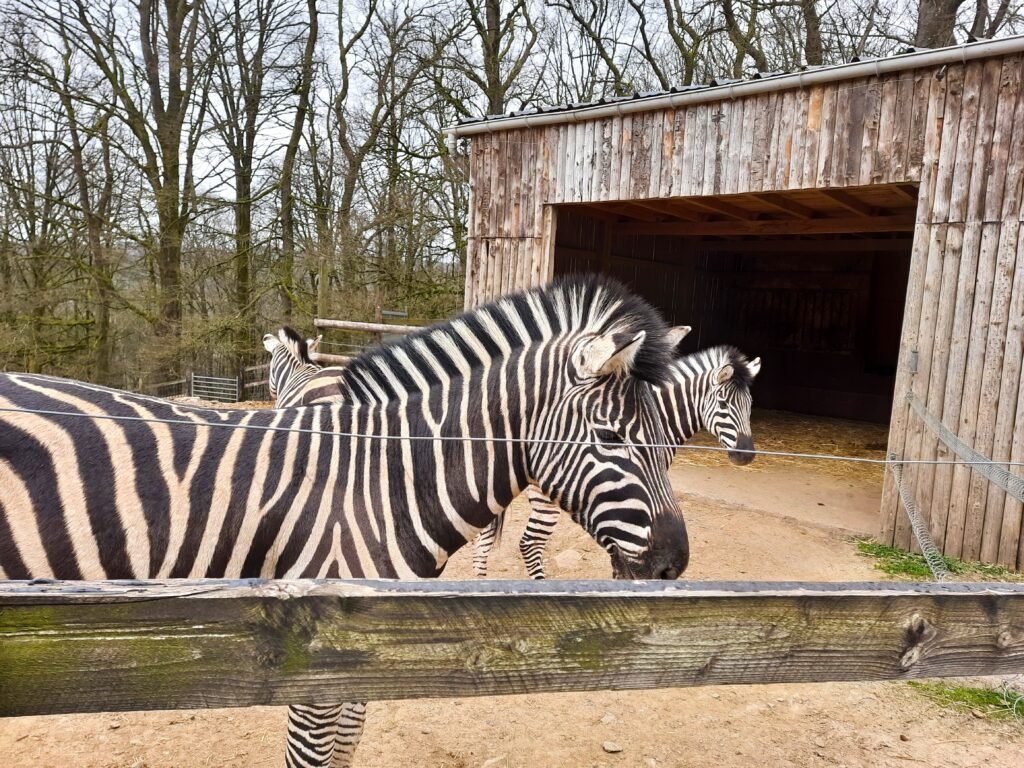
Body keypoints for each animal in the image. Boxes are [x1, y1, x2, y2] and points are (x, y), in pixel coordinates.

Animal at [0, 275, 690, 768]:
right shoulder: (313, 648)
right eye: (611, 437)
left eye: (669, 442)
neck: (381, 480)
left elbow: (347, 746)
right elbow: (313, 756)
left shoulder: (368, 646)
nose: (673, 565)